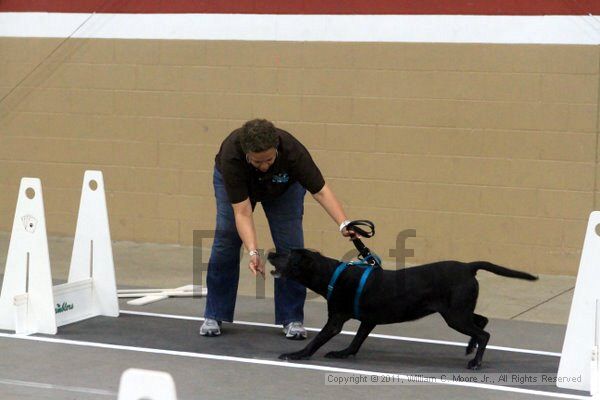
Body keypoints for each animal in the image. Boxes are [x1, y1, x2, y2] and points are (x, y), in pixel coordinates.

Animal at [268, 248, 540, 370]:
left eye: (288, 254)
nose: (270, 252)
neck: (331, 274)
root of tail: (468, 266)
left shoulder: (335, 320)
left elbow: (316, 342)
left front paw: (296, 355)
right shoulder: (368, 321)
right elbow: (356, 341)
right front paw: (343, 353)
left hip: (455, 316)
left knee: (484, 333)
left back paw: (475, 361)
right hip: (458, 311)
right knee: (482, 322)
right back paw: (469, 348)